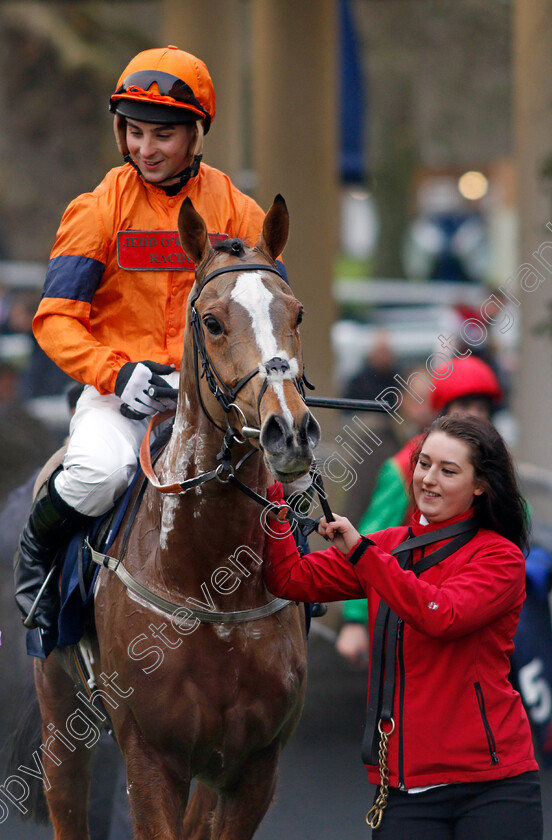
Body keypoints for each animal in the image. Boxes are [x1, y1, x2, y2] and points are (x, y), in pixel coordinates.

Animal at [15, 194, 322, 836]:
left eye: (298, 313)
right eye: (212, 322)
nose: (289, 432)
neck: (209, 578)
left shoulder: (254, 763)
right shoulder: (149, 756)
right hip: (57, 705)